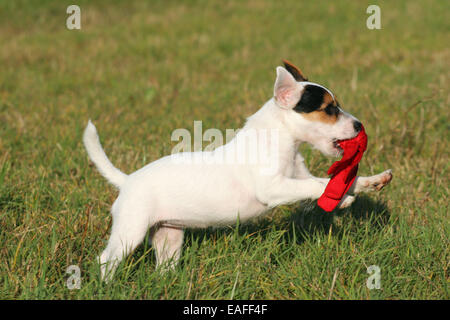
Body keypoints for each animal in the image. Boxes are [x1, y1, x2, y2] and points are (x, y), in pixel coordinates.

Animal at [82, 60, 392, 280]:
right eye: (329, 109)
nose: (359, 126)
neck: (283, 141)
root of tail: (127, 181)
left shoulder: (297, 176)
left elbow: (343, 180)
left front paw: (372, 182)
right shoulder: (274, 188)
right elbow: (317, 185)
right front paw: (343, 199)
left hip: (168, 236)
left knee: (164, 266)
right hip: (130, 230)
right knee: (106, 260)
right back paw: (107, 286)